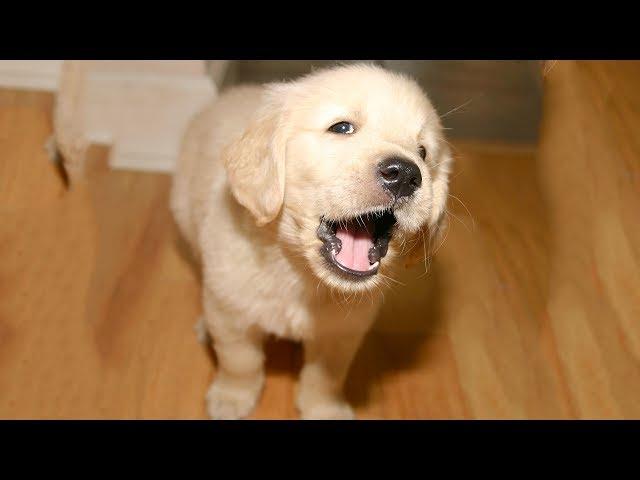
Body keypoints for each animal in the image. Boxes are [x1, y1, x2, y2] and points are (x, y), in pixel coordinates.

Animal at [170, 63, 450, 420]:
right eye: (341, 127)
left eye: (423, 152)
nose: (405, 175)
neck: (297, 272)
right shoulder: (232, 314)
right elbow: (239, 361)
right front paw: (232, 397)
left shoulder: (343, 332)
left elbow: (325, 377)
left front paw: (324, 409)